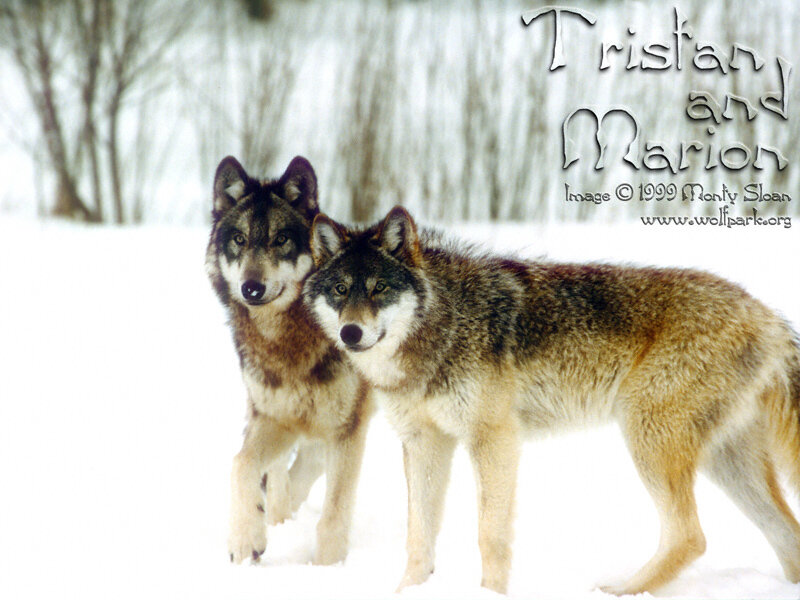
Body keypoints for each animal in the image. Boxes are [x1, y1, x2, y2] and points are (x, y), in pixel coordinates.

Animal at [206, 156, 372, 566]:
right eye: (239, 239)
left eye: (281, 239)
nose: (251, 288)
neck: (286, 339)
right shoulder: (274, 417)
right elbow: (241, 463)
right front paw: (245, 537)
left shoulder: (346, 427)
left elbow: (335, 509)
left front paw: (328, 567)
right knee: (285, 473)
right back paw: (276, 518)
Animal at [303, 205, 800, 596]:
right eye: (340, 290)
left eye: (379, 289)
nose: (351, 333)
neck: (444, 326)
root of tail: (768, 316)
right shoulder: (423, 442)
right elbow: (419, 537)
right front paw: (408, 591)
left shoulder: (494, 439)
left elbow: (490, 535)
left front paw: (490, 594)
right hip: (725, 464)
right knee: (785, 535)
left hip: (648, 440)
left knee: (690, 536)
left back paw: (620, 590)